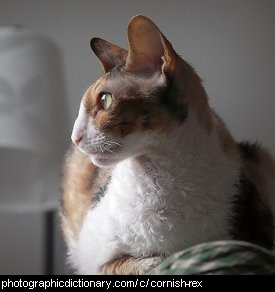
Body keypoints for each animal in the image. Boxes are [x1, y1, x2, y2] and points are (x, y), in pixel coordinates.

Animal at [61, 14, 275, 274]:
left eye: (105, 100)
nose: (74, 137)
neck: (166, 179)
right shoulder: (93, 259)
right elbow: (133, 263)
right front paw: (151, 259)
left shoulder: (252, 235)